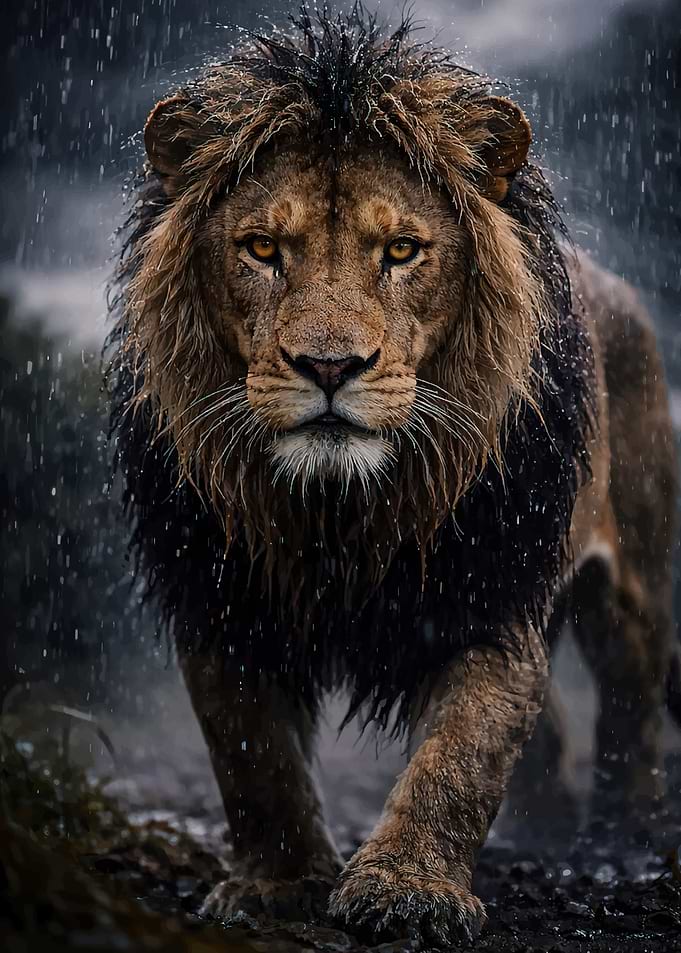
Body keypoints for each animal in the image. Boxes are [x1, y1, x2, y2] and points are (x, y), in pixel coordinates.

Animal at [108, 9, 680, 947]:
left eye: (403, 250)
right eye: (261, 248)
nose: (329, 366)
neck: (342, 510)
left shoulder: (488, 593)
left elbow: (461, 754)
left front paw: (408, 887)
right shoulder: (221, 596)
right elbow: (250, 755)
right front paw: (278, 883)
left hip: (631, 584)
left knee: (629, 710)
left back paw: (616, 839)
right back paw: (545, 820)